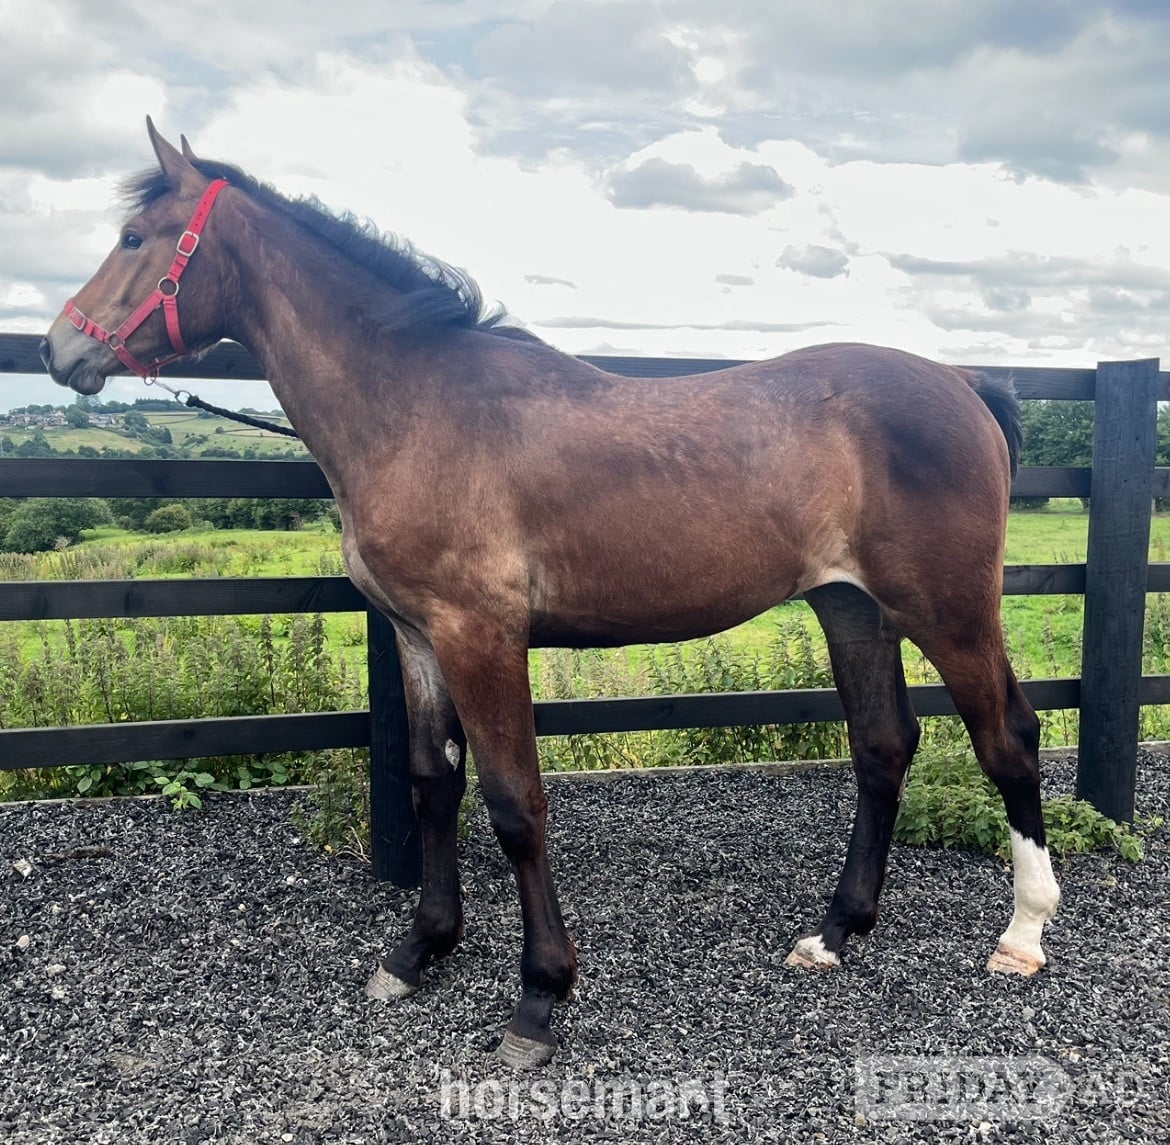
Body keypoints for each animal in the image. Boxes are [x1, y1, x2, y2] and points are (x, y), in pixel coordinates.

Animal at [42, 119, 1060, 1069]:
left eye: (134, 237)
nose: (58, 349)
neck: (418, 407)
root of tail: (961, 381)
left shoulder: (481, 636)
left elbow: (514, 803)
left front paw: (539, 997)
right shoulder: (417, 635)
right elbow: (433, 782)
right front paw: (419, 950)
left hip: (949, 611)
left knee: (1007, 737)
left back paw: (1022, 934)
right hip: (852, 608)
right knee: (883, 746)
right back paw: (836, 930)